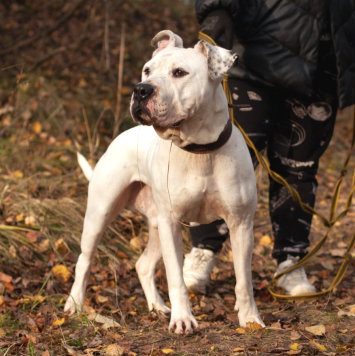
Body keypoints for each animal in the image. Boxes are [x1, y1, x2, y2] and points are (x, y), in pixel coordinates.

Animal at [64, 30, 266, 334]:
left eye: (179, 72)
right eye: (147, 70)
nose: (141, 89)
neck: (199, 150)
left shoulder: (241, 224)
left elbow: (244, 279)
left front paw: (250, 318)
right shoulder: (172, 223)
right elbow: (175, 278)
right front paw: (183, 319)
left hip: (156, 223)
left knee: (143, 265)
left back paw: (157, 307)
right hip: (101, 213)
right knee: (84, 260)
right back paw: (75, 303)